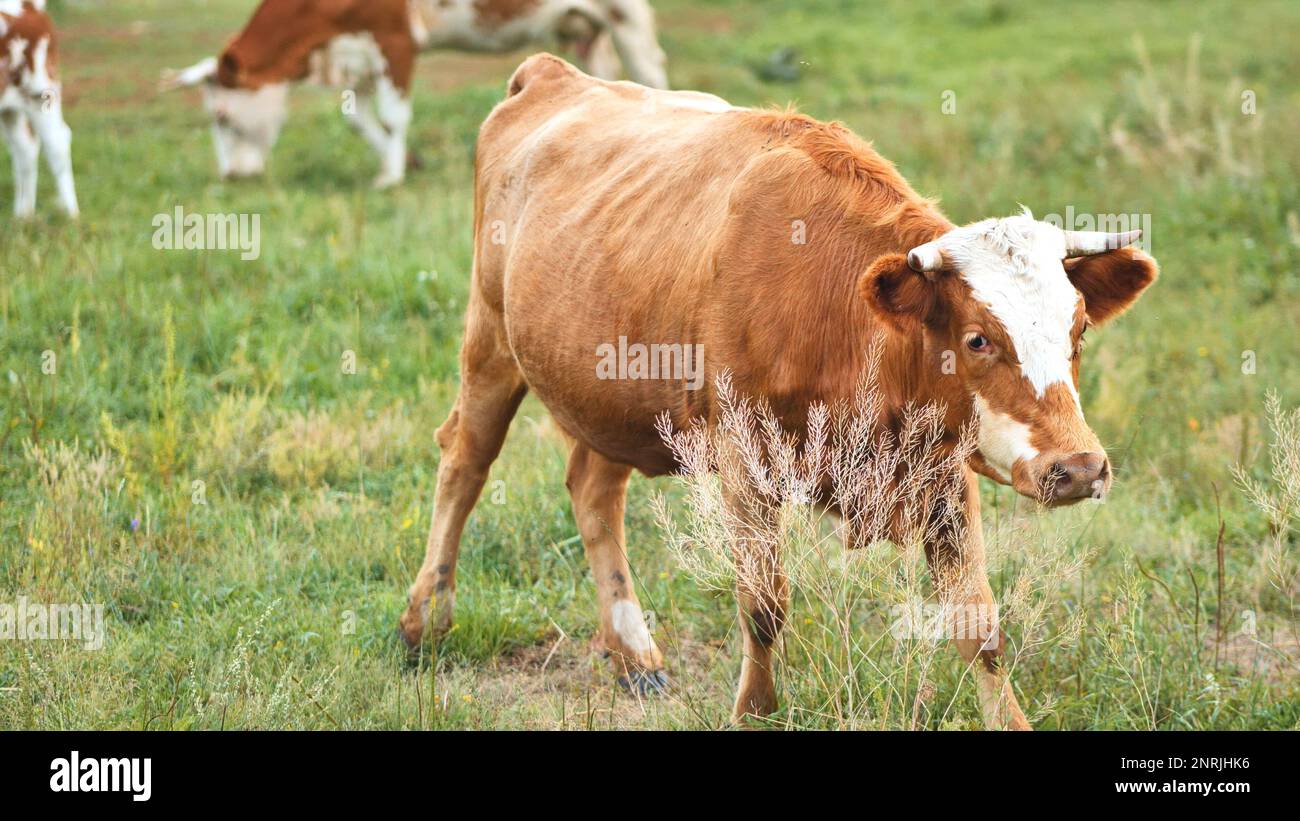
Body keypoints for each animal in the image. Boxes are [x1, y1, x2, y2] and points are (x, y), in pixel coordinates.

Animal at [0, 0, 78, 217]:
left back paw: (72, 215)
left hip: (41, 91)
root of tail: (29, 7)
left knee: (57, 142)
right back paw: (23, 216)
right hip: (10, 108)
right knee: (25, 147)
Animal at [161, 0, 668, 188]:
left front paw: (392, 177)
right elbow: (359, 119)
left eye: (223, 118)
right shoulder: (358, 52)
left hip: (625, 14)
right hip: (583, 27)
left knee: (650, 67)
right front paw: (401, 162)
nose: (230, 176)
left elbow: (393, 116)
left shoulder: (395, 39)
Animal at [396, 54, 1158, 729]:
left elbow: (978, 623)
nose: (1079, 468)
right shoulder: (745, 462)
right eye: (976, 339)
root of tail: (552, 73)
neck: (836, 306)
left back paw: (633, 653)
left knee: (592, 491)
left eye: (1078, 328)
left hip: (606, 395)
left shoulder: (944, 472)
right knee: (463, 464)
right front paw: (754, 711)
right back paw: (422, 620)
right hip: (490, 344)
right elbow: (764, 604)